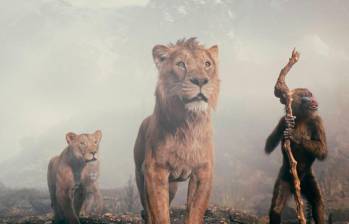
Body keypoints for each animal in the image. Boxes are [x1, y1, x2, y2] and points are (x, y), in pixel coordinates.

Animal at [134, 37, 219, 223]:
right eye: (181, 64)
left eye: (207, 64)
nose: (201, 81)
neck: (188, 124)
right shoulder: (155, 171)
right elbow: (160, 213)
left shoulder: (203, 171)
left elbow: (195, 211)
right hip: (140, 175)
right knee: (147, 208)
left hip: (172, 185)